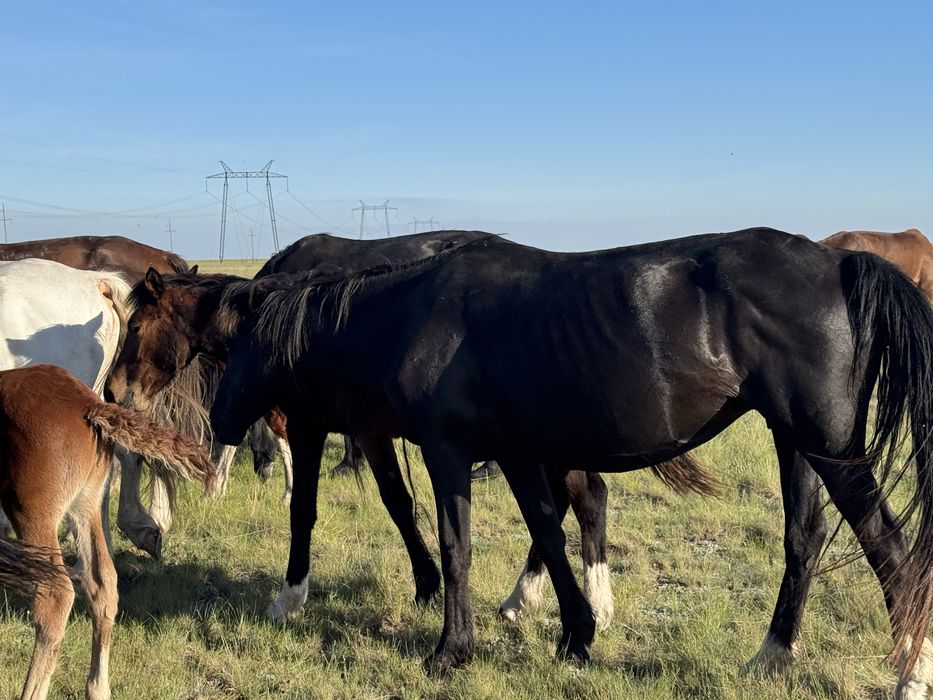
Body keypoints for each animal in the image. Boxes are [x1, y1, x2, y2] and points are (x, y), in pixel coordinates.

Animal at [0, 364, 215, 700]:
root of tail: (88, 404)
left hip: (34, 516)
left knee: (56, 596)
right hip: (84, 508)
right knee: (103, 583)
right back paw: (98, 689)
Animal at [209, 227, 933, 695]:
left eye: (233, 347)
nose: (218, 423)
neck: (415, 315)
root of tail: (838, 262)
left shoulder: (448, 452)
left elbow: (456, 545)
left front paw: (451, 650)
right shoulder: (518, 451)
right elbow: (549, 533)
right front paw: (576, 634)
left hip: (829, 446)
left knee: (889, 550)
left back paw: (909, 674)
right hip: (796, 441)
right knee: (804, 538)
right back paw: (772, 657)